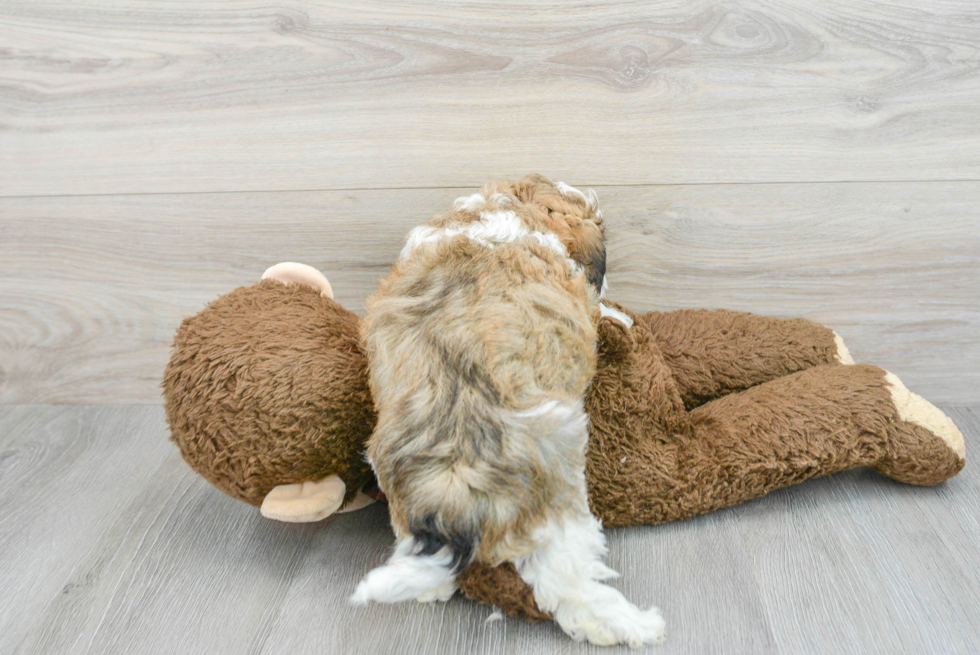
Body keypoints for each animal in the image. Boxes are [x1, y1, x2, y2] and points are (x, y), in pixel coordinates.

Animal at [352, 176, 668, 652]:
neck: (507, 213)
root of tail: (455, 479)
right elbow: (598, 311)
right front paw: (619, 316)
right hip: (557, 500)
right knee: (564, 583)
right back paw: (630, 624)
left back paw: (432, 587)